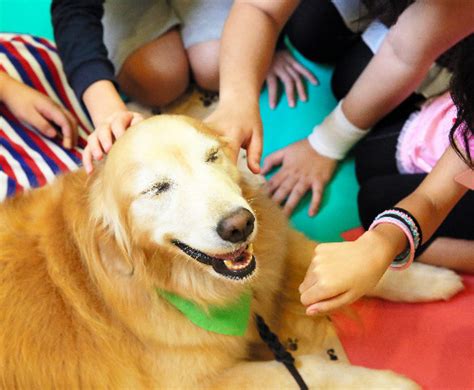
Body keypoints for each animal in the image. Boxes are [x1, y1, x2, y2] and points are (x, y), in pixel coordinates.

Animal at [0, 115, 462, 386]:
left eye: (212, 156)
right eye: (157, 188)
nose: (240, 225)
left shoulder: (275, 255)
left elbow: (343, 256)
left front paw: (426, 277)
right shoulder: (197, 384)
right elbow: (307, 369)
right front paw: (387, 382)